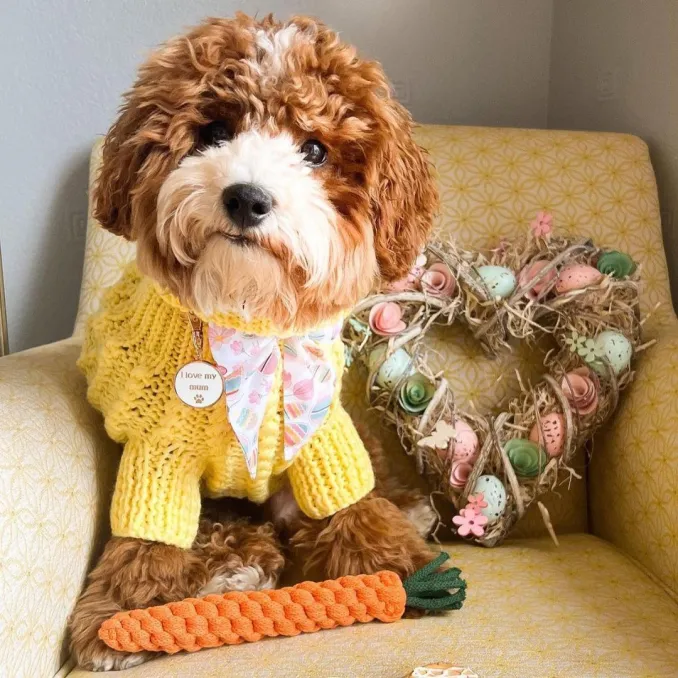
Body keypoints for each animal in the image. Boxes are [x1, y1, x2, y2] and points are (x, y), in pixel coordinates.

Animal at [70, 13, 440, 672]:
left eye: (314, 149)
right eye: (214, 131)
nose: (247, 197)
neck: (248, 325)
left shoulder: (322, 436)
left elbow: (351, 502)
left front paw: (400, 567)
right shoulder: (157, 450)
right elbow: (145, 532)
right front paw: (119, 613)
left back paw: (408, 508)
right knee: (226, 531)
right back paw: (235, 570)